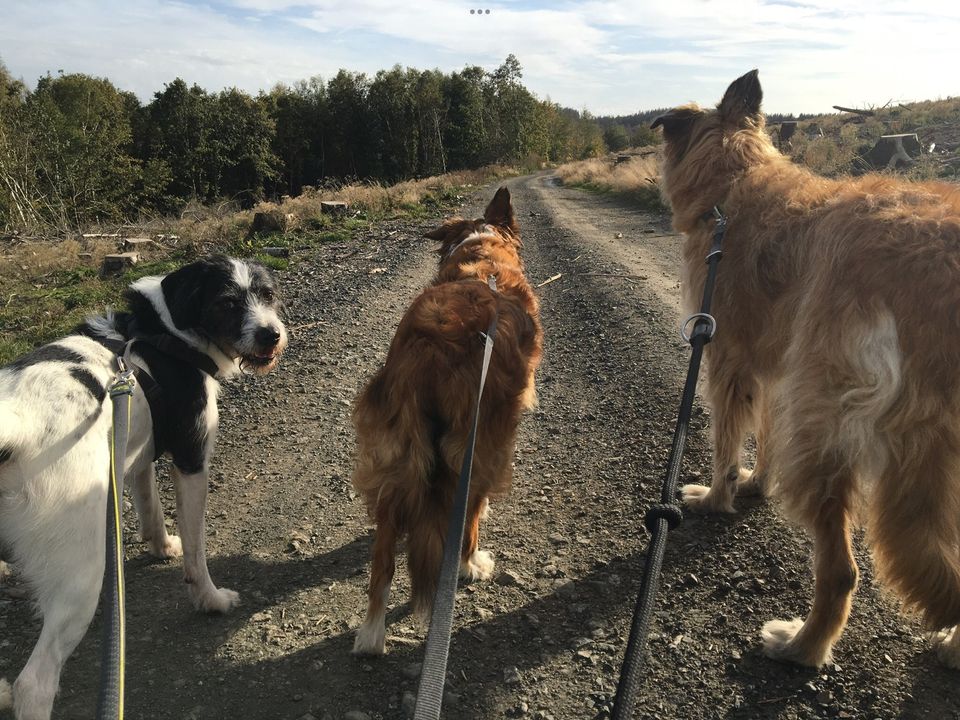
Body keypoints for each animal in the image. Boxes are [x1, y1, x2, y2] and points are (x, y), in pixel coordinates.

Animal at [0, 256, 286, 716]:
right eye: (226, 302)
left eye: (268, 294)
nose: (270, 334)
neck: (165, 335)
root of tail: (15, 429)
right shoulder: (192, 462)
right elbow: (196, 552)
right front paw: (210, 600)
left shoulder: (134, 454)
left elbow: (151, 507)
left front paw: (160, 546)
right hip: (81, 576)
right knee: (36, 683)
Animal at [350, 188, 540, 656]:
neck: (484, 254)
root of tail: (430, 350)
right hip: (480, 444)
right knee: (466, 515)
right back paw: (471, 563)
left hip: (397, 445)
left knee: (383, 557)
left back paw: (371, 633)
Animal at [656, 70, 960, 668]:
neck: (735, 181)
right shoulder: (774, 372)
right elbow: (765, 437)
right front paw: (757, 485)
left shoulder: (725, 360)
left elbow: (727, 444)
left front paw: (717, 499)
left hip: (825, 423)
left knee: (842, 571)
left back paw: (801, 645)